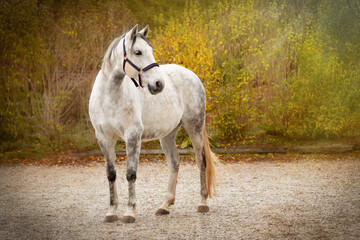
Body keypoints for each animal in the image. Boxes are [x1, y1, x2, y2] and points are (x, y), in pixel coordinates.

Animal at [89, 24, 217, 223]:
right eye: (138, 52)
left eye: (151, 51)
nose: (158, 84)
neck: (109, 97)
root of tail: (192, 75)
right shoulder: (104, 138)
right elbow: (111, 174)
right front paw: (111, 212)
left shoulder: (132, 136)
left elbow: (130, 173)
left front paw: (129, 212)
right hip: (167, 135)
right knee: (174, 162)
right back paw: (164, 206)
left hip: (194, 127)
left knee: (201, 160)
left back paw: (202, 202)